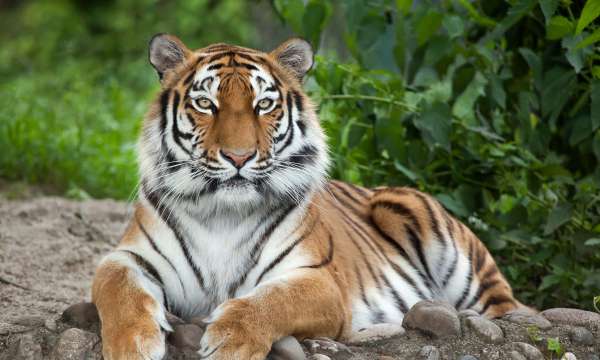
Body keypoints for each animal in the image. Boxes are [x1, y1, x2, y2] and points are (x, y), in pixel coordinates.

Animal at [91, 34, 528, 360]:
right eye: (205, 104)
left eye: (263, 104)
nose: (238, 157)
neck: (223, 214)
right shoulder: (129, 257)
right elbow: (118, 288)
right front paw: (133, 344)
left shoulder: (318, 280)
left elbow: (269, 301)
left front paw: (229, 340)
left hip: (430, 229)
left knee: (507, 310)